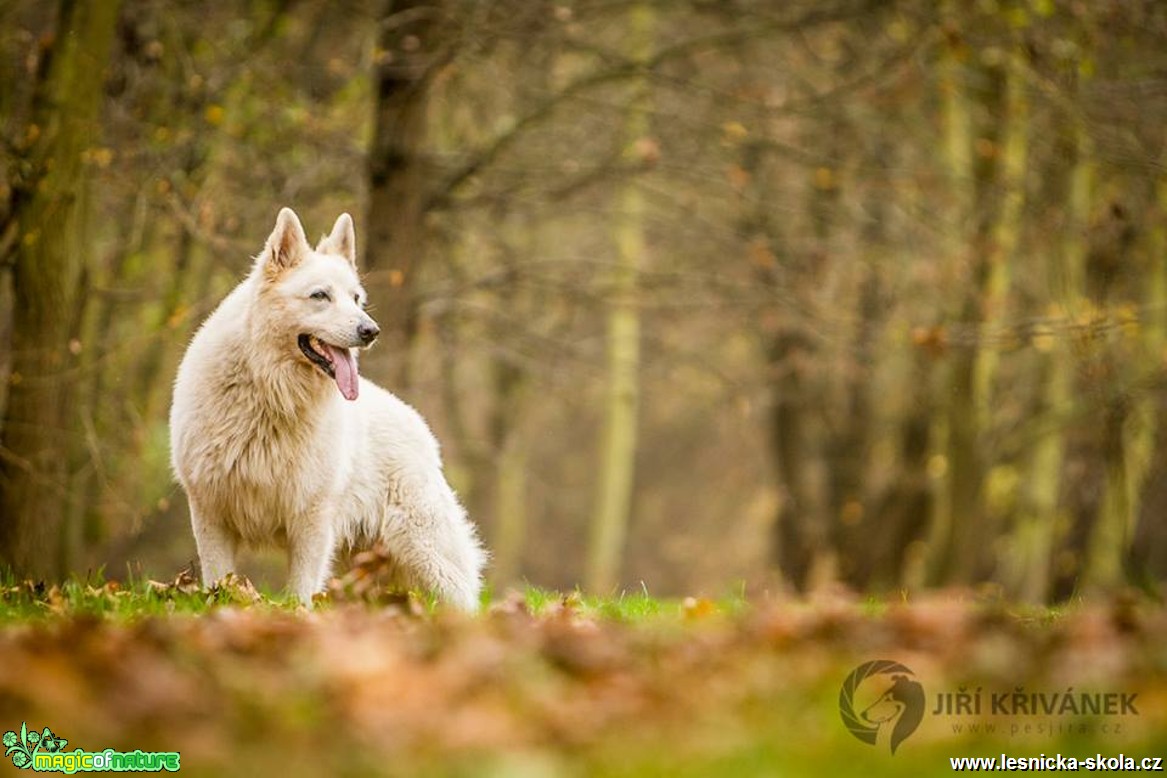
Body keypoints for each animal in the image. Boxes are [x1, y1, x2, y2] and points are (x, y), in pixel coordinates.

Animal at [168, 206, 483, 606]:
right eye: (320, 296)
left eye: (356, 298)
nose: (371, 331)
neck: (271, 392)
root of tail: (419, 425)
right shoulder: (210, 511)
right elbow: (218, 582)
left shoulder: (312, 518)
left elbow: (301, 592)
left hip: (426, 552)